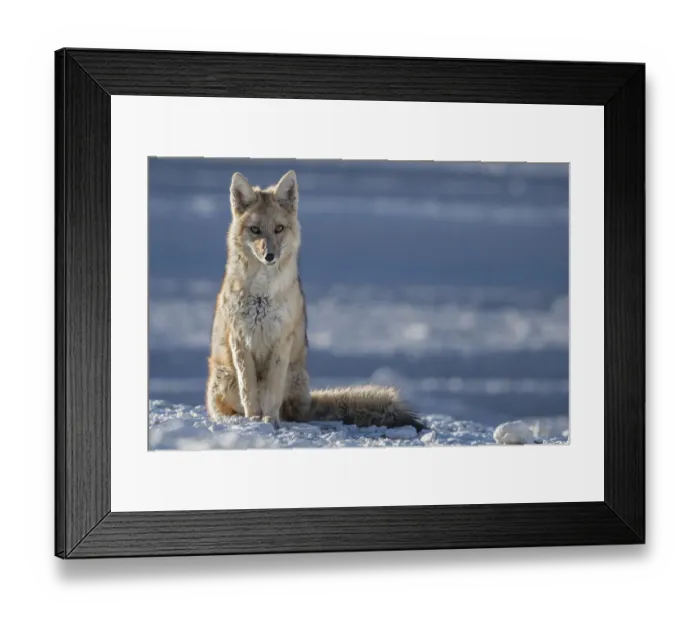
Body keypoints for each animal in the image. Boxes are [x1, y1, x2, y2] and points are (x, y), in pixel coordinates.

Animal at [205, 169, 426, 432]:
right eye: (255, 230)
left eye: (279, 228)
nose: (269, 256)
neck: (262, 296)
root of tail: (307, 401)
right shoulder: (240, 338)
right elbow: (249, 391)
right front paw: (254, 421)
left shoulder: (281, 339)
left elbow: (272, 393)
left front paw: (269, 421)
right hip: (225, 378)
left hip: (293, 376)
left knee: (288, 411)